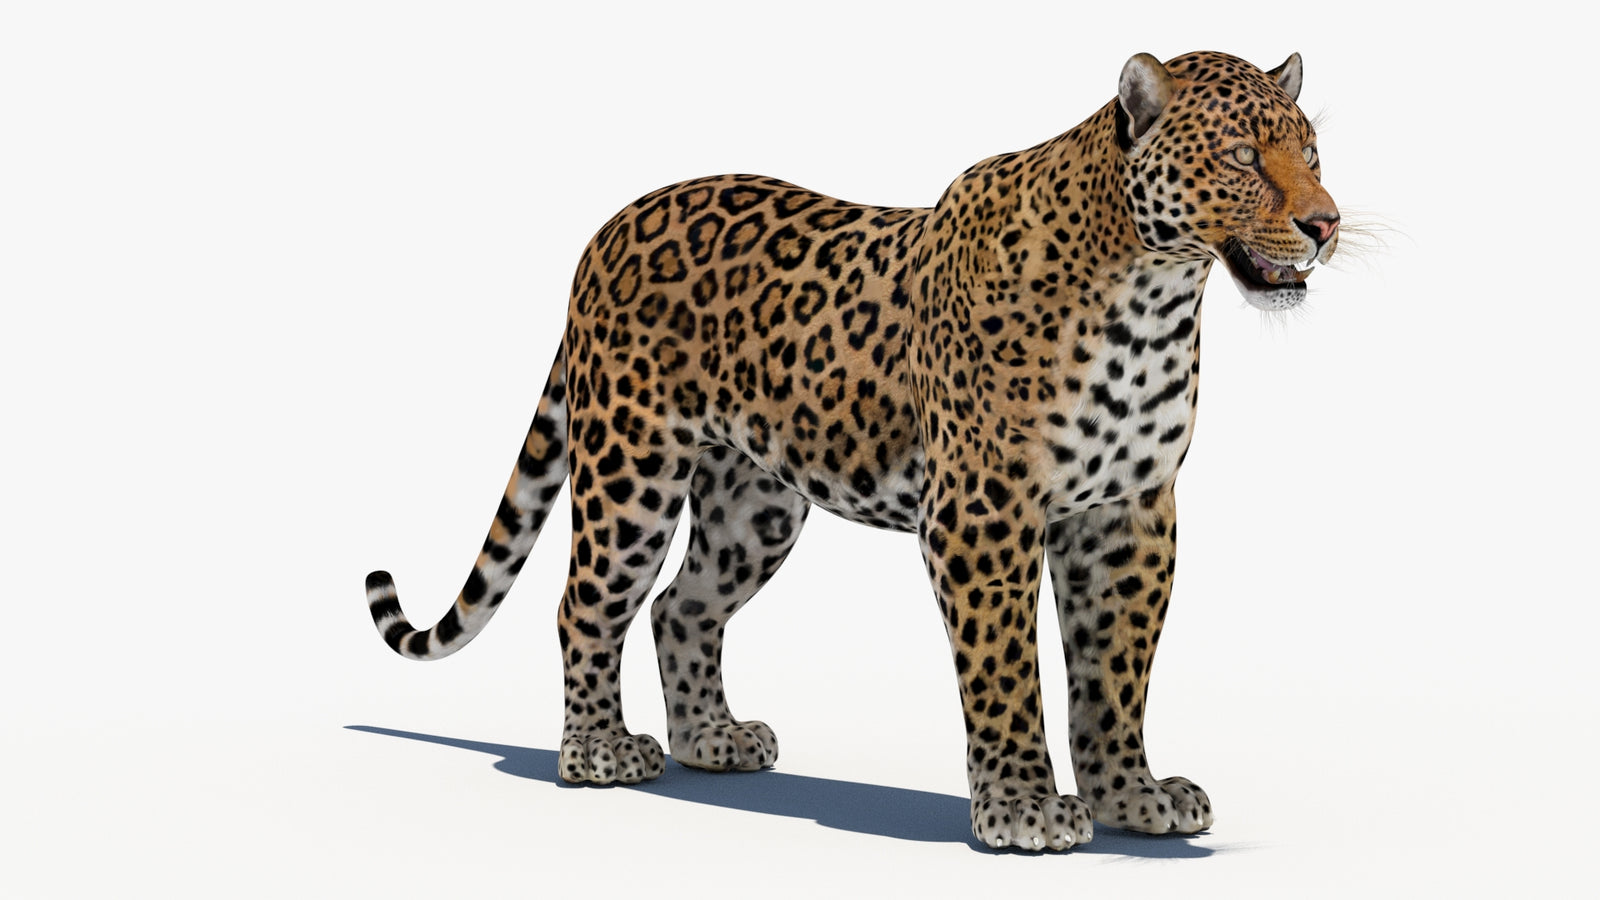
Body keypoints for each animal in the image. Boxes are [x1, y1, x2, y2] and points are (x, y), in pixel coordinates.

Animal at [363, 50, 1340, 852]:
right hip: (631, 465)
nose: (1327, 225)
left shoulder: (1129, 513)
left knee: (682, 604)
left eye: (1312, 154)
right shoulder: (983, 514)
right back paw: (598, 750)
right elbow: (1007, 668)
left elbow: (1115, 668)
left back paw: (712, 740)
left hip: (754, 503)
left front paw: (1131, 796)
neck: (1153, 296)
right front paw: (1024, 809)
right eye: (1243, 157)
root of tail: (610, 227)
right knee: (587, 604)